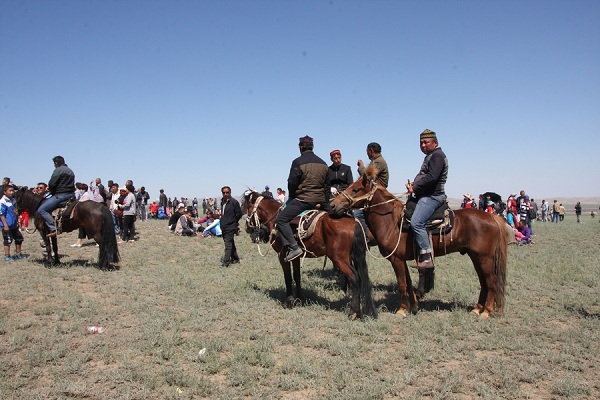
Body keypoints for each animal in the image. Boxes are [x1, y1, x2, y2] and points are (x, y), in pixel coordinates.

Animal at [243, 191, 376, 318]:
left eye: (248, 207)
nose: (246, 228)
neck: (275, 219)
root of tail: (353, 222)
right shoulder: (295, 256)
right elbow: (296, 276)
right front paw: (299, 299)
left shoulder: (282, 256)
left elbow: (288, 277)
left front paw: (288, 301)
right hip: (351, 257)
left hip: (339, 259)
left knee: (354, 278)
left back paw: (353, 312)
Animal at [328, 167, 506, 318]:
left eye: (355, 189)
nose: (333, 205)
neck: (390, 222)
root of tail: (492, 217)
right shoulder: (402, 260)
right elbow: (408, 282)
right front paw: (413, 307)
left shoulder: (396, 260)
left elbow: (402, 284)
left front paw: (401, 310)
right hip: (476, 257)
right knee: (484, 282)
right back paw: (477, 309)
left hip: (484, 257)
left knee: (491, 282)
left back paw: (486, 312)